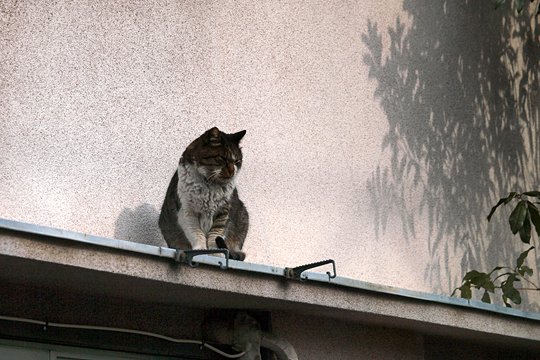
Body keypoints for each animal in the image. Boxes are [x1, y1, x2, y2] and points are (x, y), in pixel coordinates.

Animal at [157, 128, 248, 260]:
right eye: (222, 158)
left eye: (237, 161)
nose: (232, 171)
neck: (210, 185)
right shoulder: (187, 211)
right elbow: (196, 232)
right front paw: (201, 249)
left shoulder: (223, 213)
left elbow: (215, 236)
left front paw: (216, 253)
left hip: (243, 216)